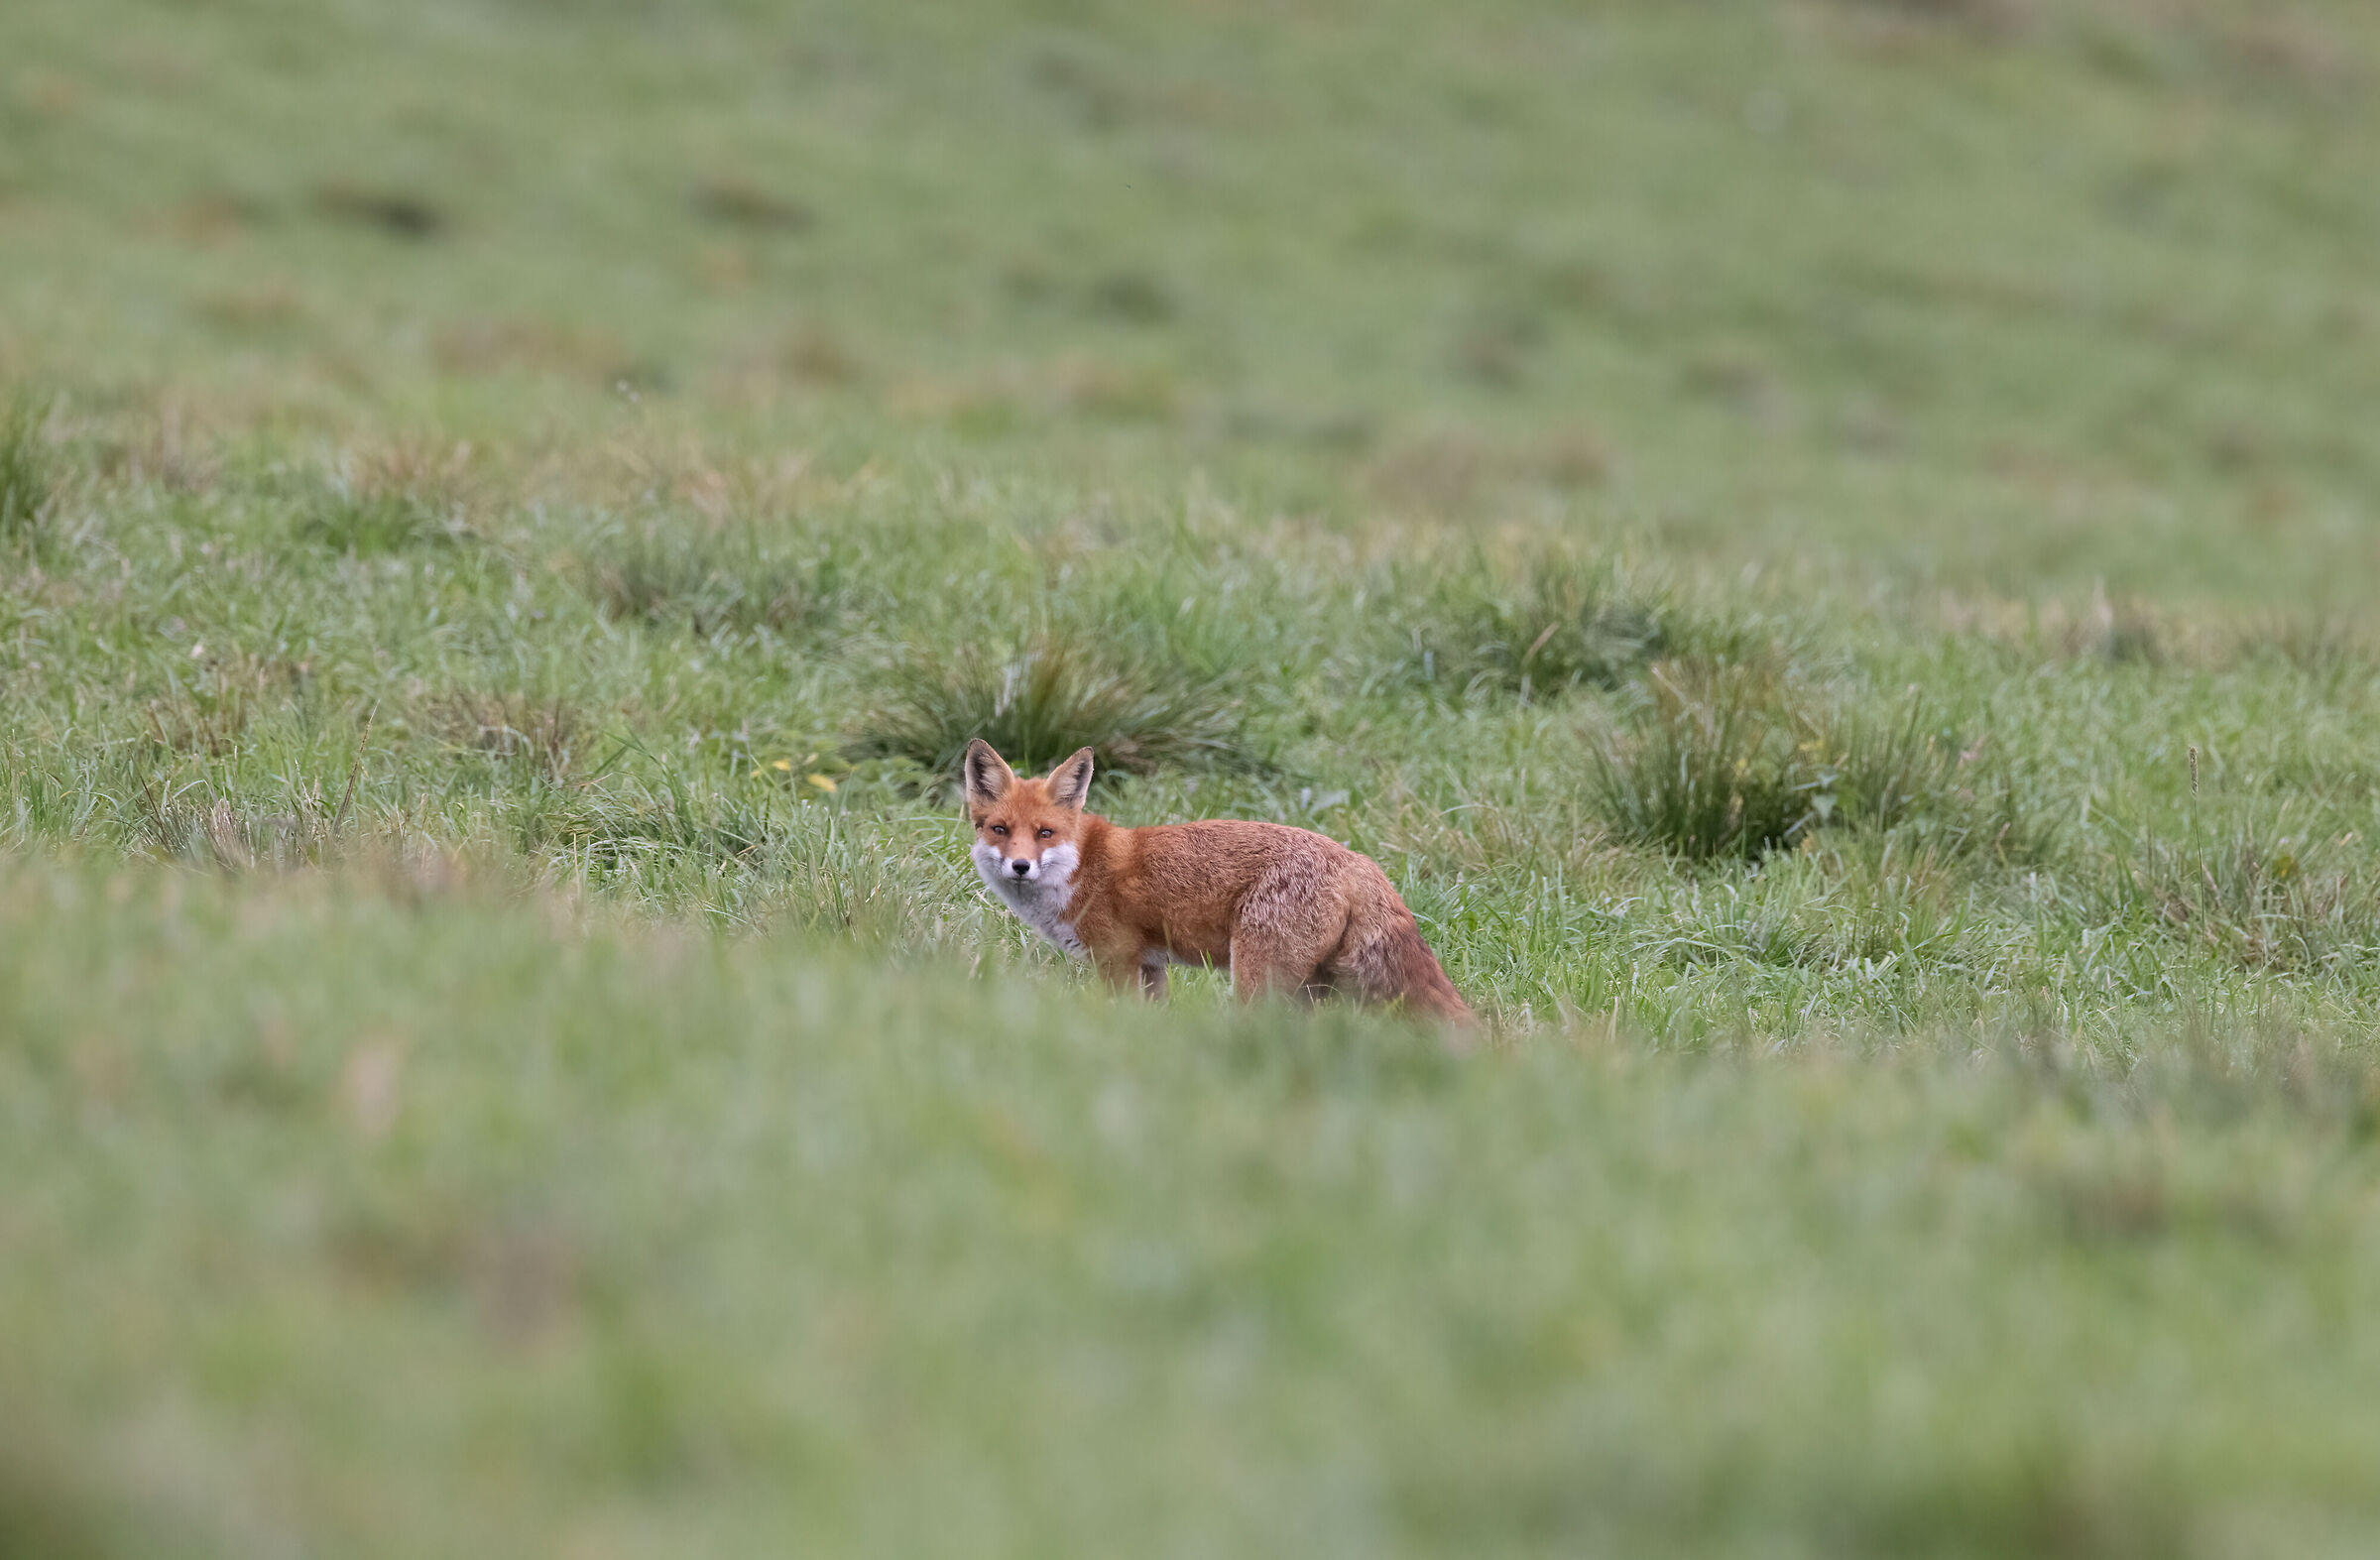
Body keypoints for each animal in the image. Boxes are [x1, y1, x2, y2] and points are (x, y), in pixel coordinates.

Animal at [961, 738, 1472, 1024]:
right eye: (1000, 830)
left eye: (1044, 833)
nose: (1020, 866)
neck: (1081, 868)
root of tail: (1356, 859)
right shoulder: (1151, 966)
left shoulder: (1117, 960)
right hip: (1316, 987)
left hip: (1259, 979)